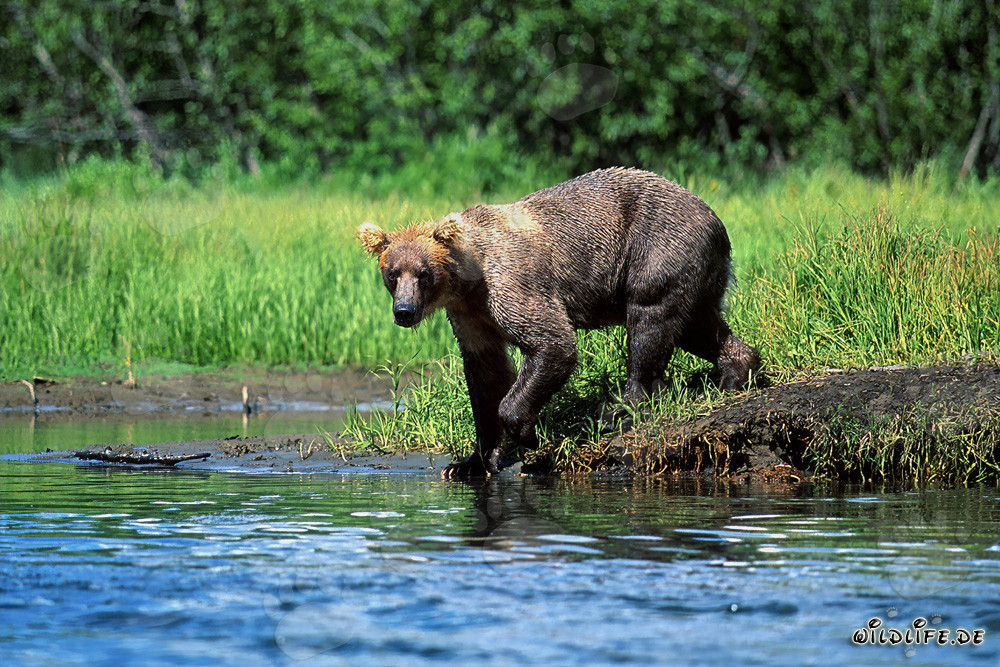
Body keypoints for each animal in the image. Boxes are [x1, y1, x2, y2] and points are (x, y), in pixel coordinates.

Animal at [358, 167, 761, 478]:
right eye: (392, 274)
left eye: (423, 273)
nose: (404, 311)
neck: (469, 279)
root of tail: (714, 217)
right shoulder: (470, 315)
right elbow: (486, 373)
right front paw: (471, 461)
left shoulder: (511, 285)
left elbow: (552, 342)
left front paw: (526, 432)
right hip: (693, 269)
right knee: (696, 325)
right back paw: (734, 373)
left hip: (657, 246)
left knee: (650, 320)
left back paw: (617, 408)